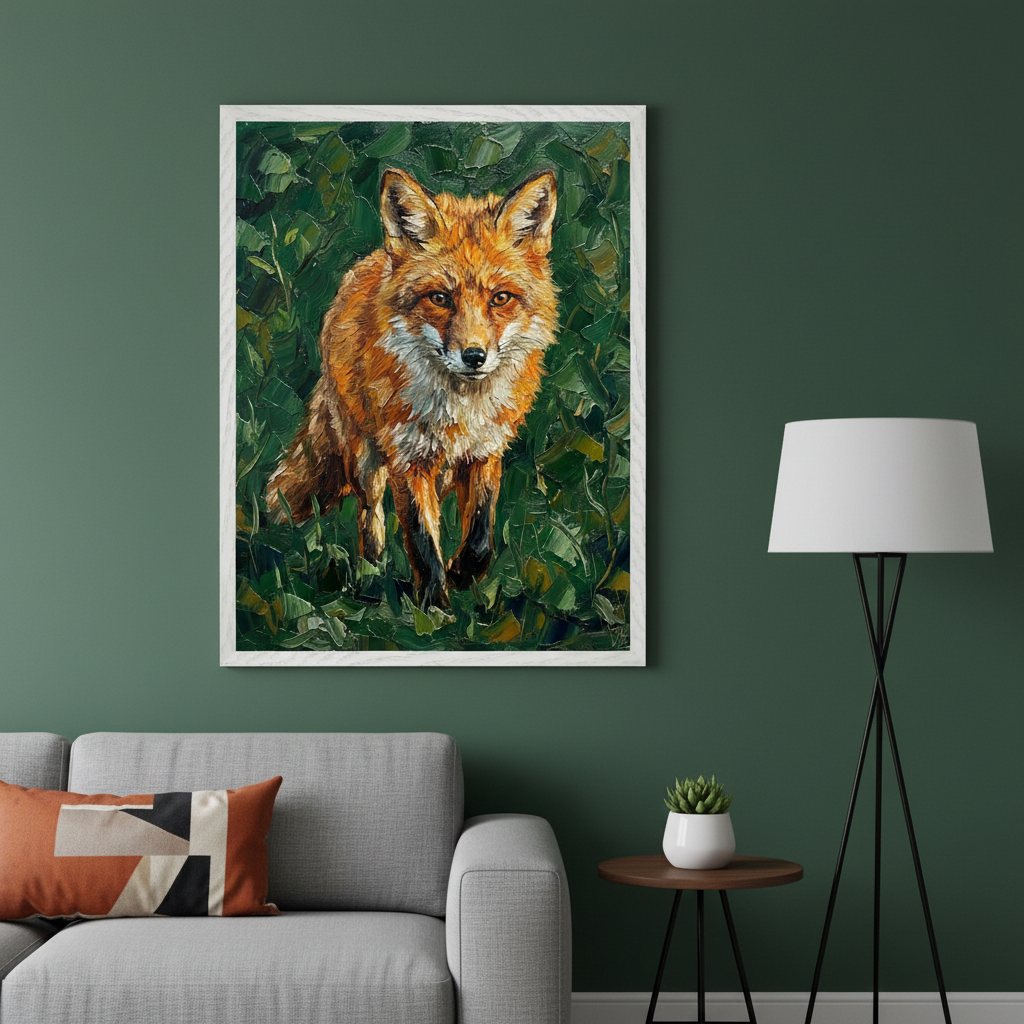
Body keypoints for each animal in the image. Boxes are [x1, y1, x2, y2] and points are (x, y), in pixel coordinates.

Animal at [266, 166, 558, 610]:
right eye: (439, 298)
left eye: (500, 299)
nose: (474, 356)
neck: (460, 409)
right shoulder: (408, 457)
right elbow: (422, 539)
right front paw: (435, 608)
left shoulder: (486, 450)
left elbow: (481, 532)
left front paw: (463, 574)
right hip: (364, 457)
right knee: (369, 514)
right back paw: (369, 577)